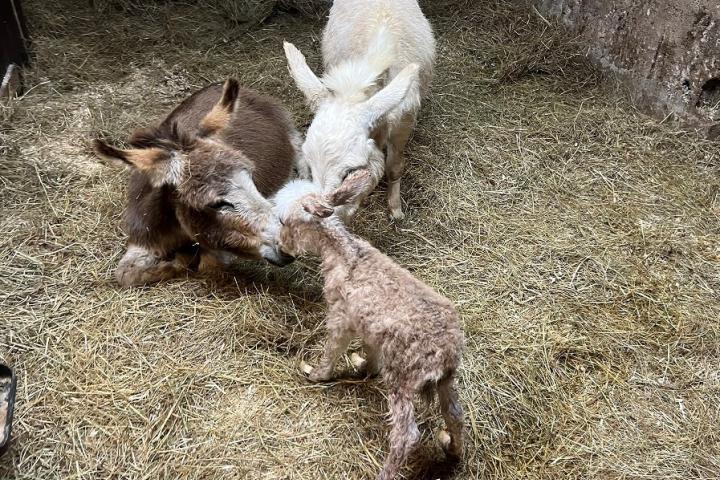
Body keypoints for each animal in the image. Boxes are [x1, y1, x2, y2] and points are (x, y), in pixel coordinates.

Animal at [284, 0, 436, 220]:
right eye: (309, 167)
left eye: (351, 171)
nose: (320, 216)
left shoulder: (404, 121)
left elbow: (394, 167)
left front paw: (395, 208)